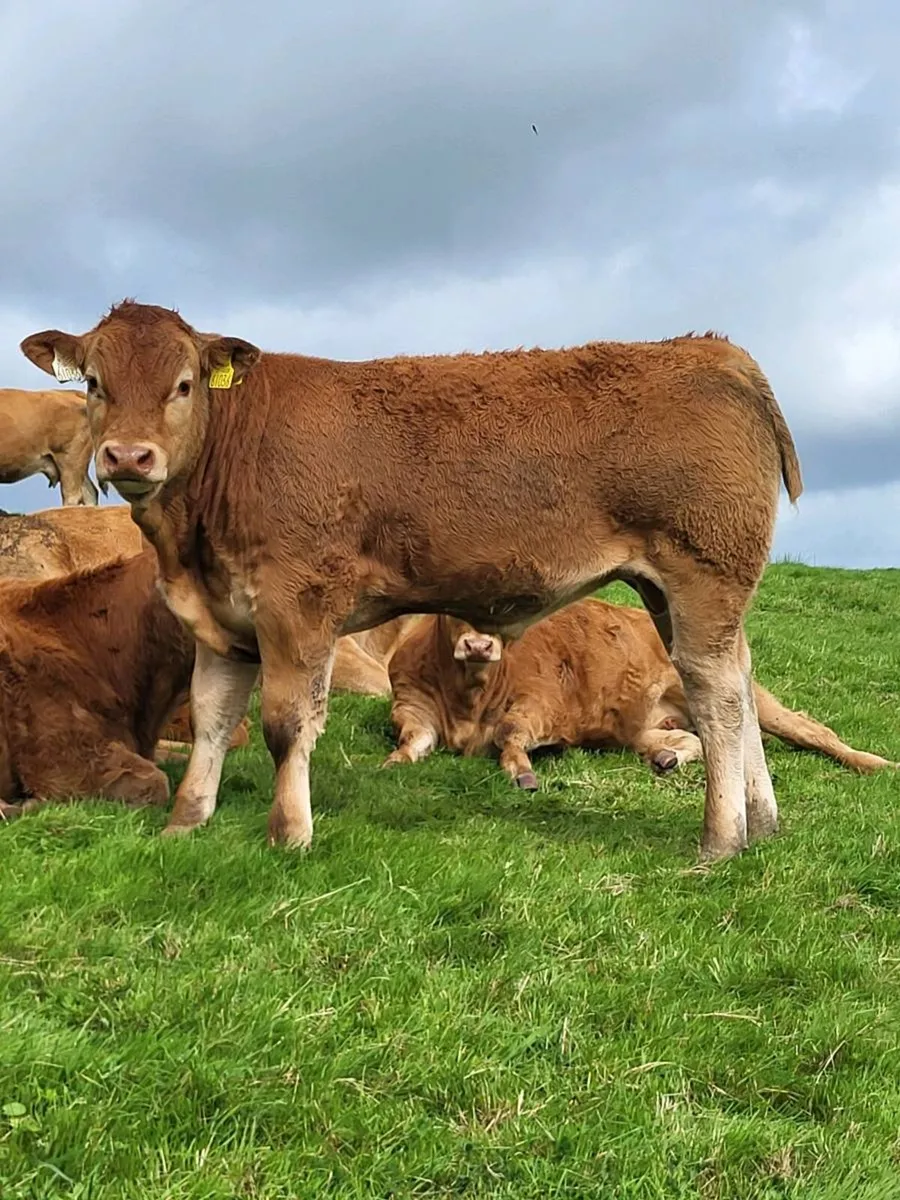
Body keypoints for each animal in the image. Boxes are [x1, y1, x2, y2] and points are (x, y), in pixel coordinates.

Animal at [20, 300, 803, 862]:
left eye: (183, 385)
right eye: (95, 384)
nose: (129, 455)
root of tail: (713, 348)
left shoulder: (298, 606)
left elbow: (284, 724)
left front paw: (288, 835)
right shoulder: (223, 620)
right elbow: (214, 718)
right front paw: (186, 822)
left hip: (702, 573)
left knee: (716, 697)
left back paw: (721, 840)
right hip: (676, 591)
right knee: (738, 678)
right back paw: (763, 821)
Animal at [383, 601, 896, 789]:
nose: (479, 645)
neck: (467, 697)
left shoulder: (541, 703)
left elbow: (509, 732)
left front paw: (522, 770)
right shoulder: (410, 704)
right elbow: (413, 739)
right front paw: (393, 762)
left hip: (753, 698)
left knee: (814, 730)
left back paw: (876, 764)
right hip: (644, 724)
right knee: (687, 740)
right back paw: (665, 757)